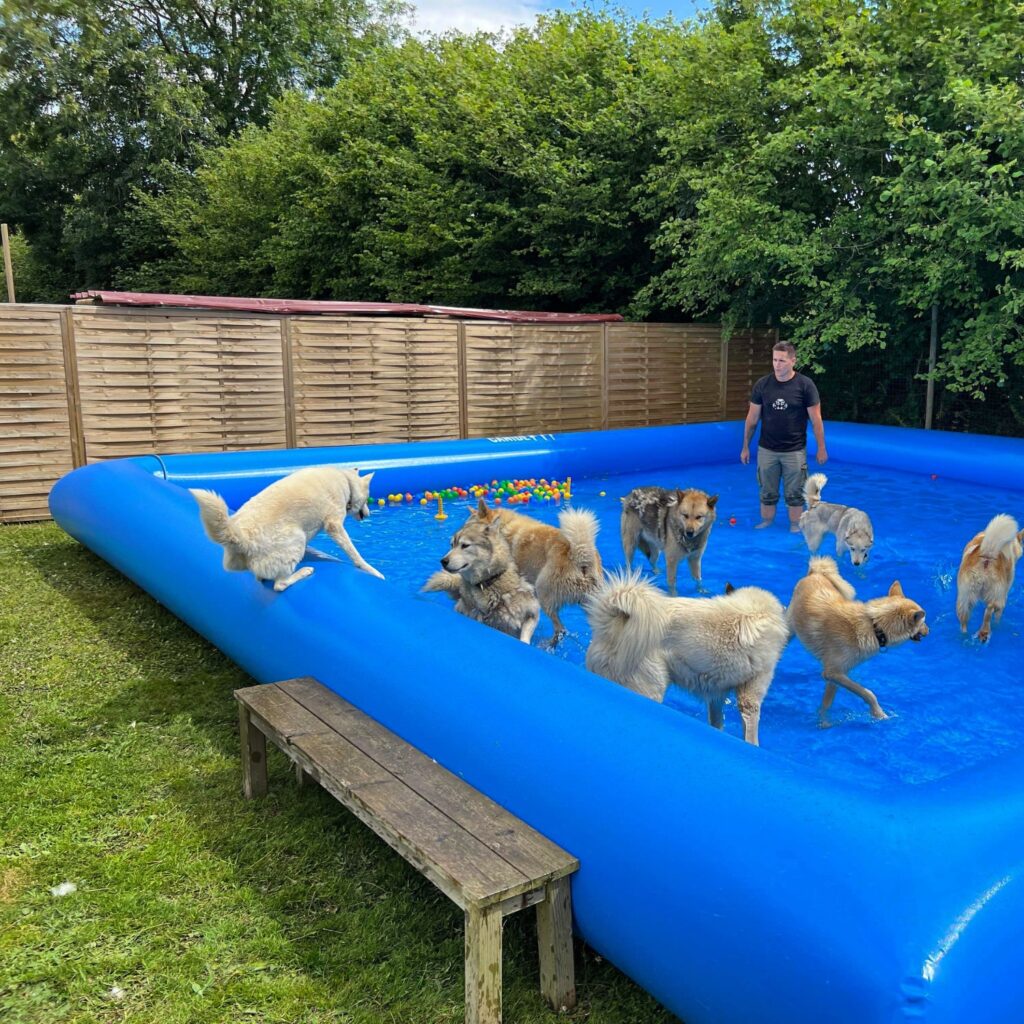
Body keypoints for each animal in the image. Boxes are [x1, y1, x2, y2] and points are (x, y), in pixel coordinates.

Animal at [191, 466, 385, 593]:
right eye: (367, 499)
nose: (368, 514)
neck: (346, 481)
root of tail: (241, 538)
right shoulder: (334, 525)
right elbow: (355, 554)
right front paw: (373, 571)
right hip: (296, 538)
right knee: (280, 585)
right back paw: (303, 572)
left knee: (261, 578)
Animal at [581, 569, 786, 745]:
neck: (755, 610)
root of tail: (609, 630)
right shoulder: (751, 696)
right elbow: (751, 736)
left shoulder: (716, 697)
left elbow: (717, 724)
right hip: (651, 687)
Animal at [782, 557, 929, 724]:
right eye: (923, 622)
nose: (929, 630)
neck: (874, 626)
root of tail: (815, 572)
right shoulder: (833, 672)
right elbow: (868, 693)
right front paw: (879, 714)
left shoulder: (836, 674)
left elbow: (827, 703)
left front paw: (823, 722)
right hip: (788, 631)